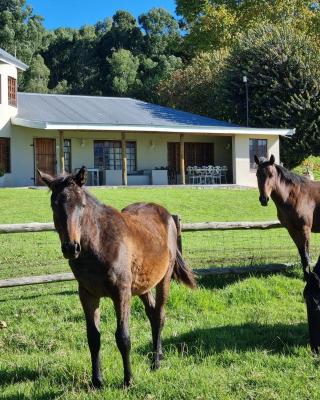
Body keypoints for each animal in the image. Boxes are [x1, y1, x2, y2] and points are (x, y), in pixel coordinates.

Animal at [38, 166, 196, 388]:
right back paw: (158, 356)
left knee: (159, 315)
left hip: (163, 279)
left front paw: (128, 380)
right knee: (152, 314)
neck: (99, 243)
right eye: (54, 204)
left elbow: (123, 337)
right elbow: (93, 337)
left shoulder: (121, 293)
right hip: (143, 285)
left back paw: (156, 362)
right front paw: (97, 381)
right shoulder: (87, 295)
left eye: (82, 205)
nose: (71, 247)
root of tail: (166, 214)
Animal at [255, 155, 320, 352]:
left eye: (270, 175)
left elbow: (306, 256)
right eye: (257, 175)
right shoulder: (292, 231)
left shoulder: (305, 230)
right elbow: (302, 256)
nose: (264, 199)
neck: (295, 195)